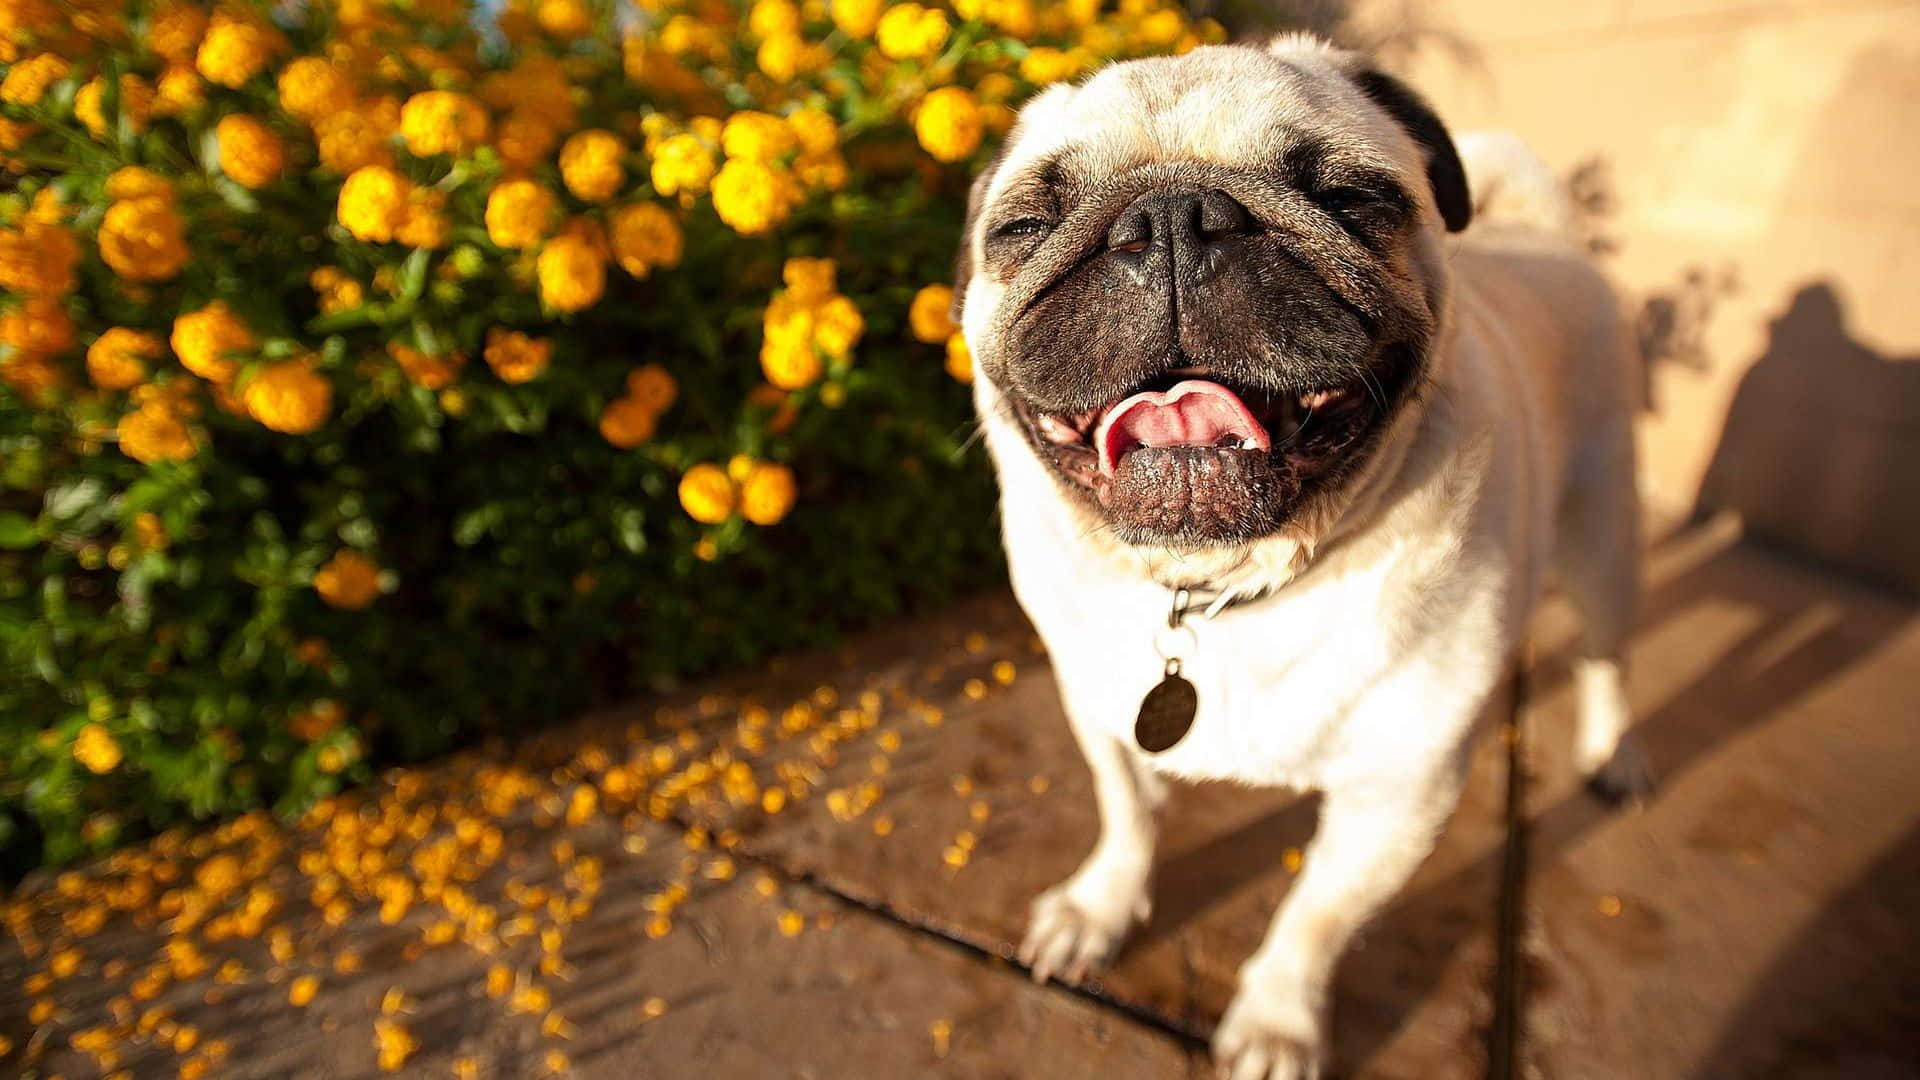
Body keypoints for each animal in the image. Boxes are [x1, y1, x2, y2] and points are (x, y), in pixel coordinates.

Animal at [960, 33, 1651, 1076]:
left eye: (1352, 198)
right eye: (1024, 225)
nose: (1171, 220)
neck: (1224, 587)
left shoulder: (1399, 796)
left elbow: (1314, 918)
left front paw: (1277, 1022)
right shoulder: (1101, 714)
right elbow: (1128, 817)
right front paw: (1097, 910)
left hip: (1605, 537)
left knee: (1608, 653)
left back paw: (1615, 755)